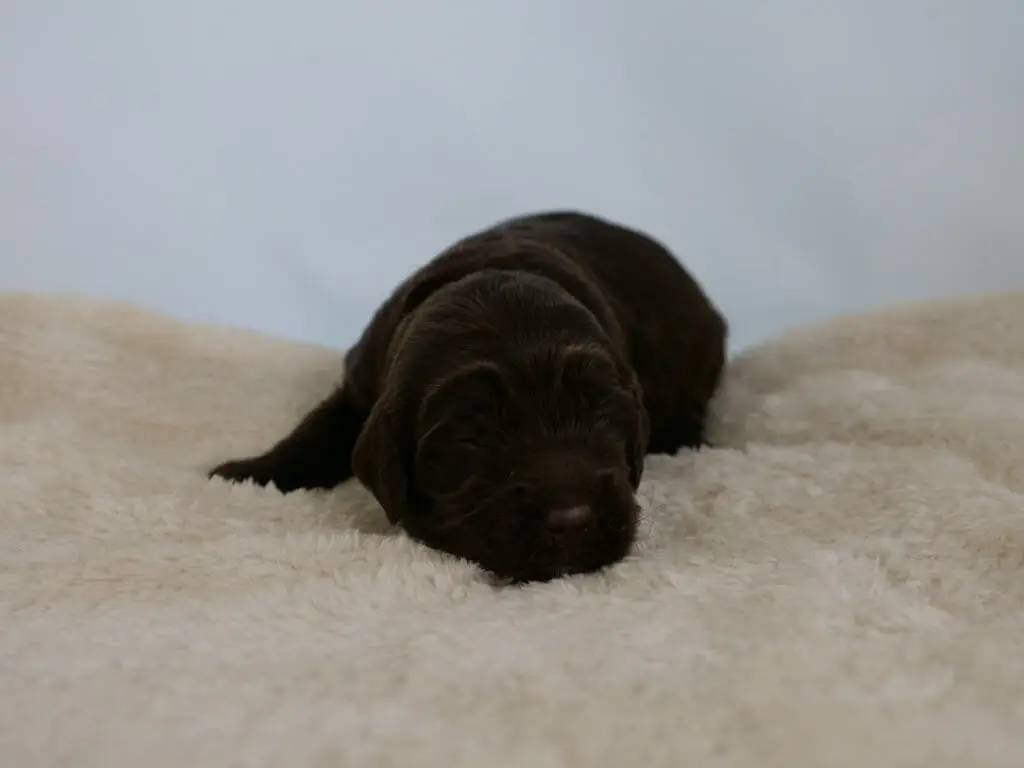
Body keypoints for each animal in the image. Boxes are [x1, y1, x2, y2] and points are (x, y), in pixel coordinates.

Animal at [211, 210, 729, 581]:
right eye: (471, 439)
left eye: (602, 414)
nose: (572, 517)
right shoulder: (358, 385)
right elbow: (314, 432)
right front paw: (246, 473)